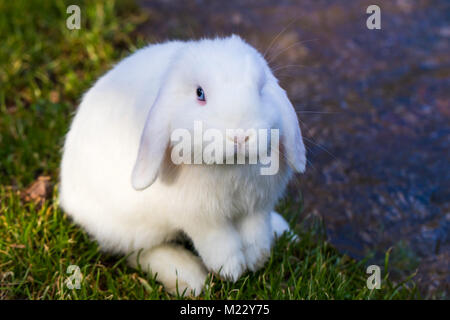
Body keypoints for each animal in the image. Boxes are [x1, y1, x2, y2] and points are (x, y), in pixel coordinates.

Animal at [59, 35, 306, 296]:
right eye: (199, 93)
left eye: (260, 90)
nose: (240, 136)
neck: (231, 167)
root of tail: (67, 196)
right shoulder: (200, 216)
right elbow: (219, 240)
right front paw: (231, 270)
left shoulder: (257, 206)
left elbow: (255, 233)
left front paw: (257, 259)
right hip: (132, 227)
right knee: (138, 252)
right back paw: (190, 278)